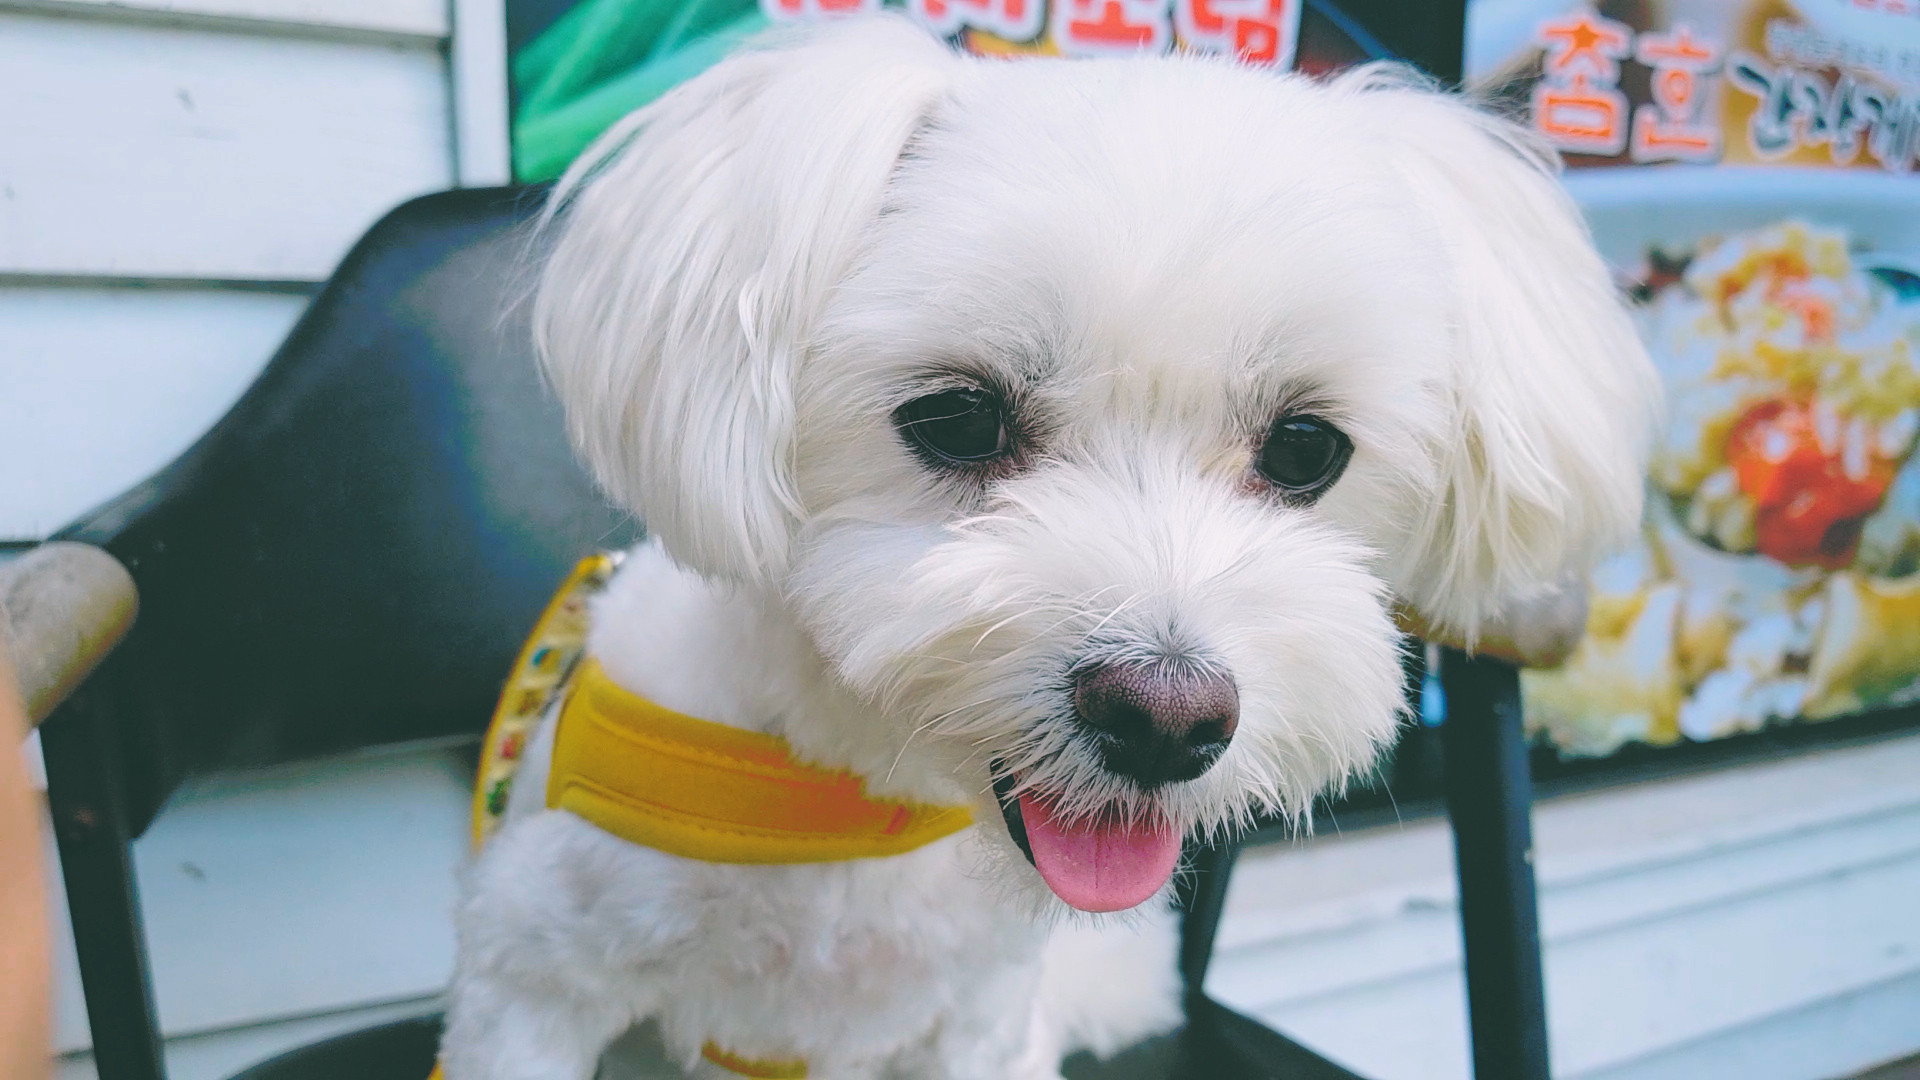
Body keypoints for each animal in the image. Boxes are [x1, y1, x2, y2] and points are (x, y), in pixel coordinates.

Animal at [440, 15, 1657, 1079]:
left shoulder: (974, 1027)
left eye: (1307, 447)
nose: (1165, 719)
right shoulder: (534, 982)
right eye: (958, 418)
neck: (858, 786)